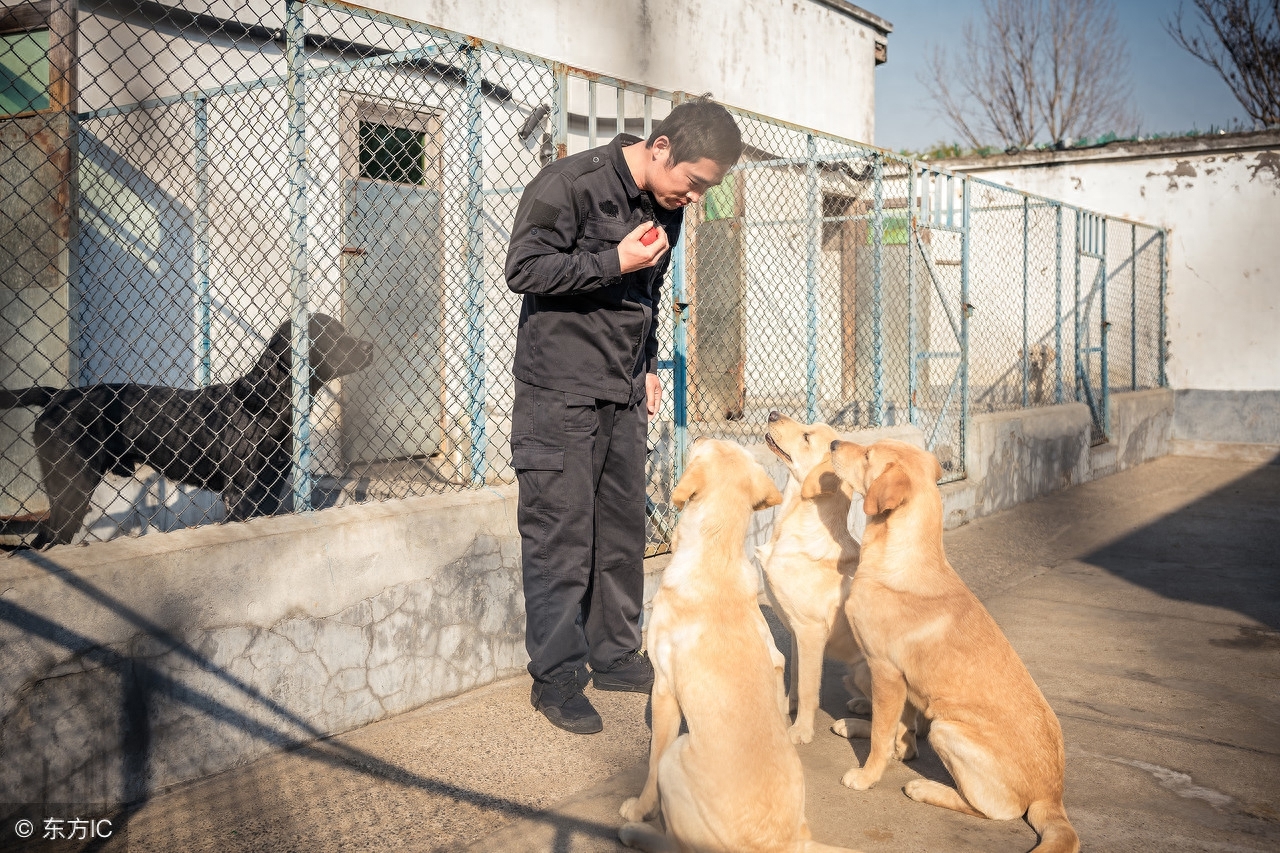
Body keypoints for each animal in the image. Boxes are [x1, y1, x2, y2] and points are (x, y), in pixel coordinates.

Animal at [2, 312, 373, 545]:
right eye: (331, 334)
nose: (370, 347)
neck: (267, 400)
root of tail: (57, 395)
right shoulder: (239, 494)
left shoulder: (268, 492)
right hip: (71, 487)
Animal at [619, 438, 860, 850]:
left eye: (710, 446)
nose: (698, 437)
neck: (717, 551)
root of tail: (786, 842)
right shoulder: (778, 657)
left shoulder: (664, 688)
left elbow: (650, 764)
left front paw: (639, 809)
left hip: (677, 755)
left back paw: (635, 832)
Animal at [824, 438, 1075, 850]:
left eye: (867, 455)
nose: (831, 442)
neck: (901, 557)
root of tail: (1052, 795)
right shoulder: (903, 682)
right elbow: (899, 730)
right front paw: (898, 748)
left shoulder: (886, 671)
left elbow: (881, 736)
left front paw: (867, 776)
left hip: (948, 728)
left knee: (998, 810)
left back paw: (927, 789)